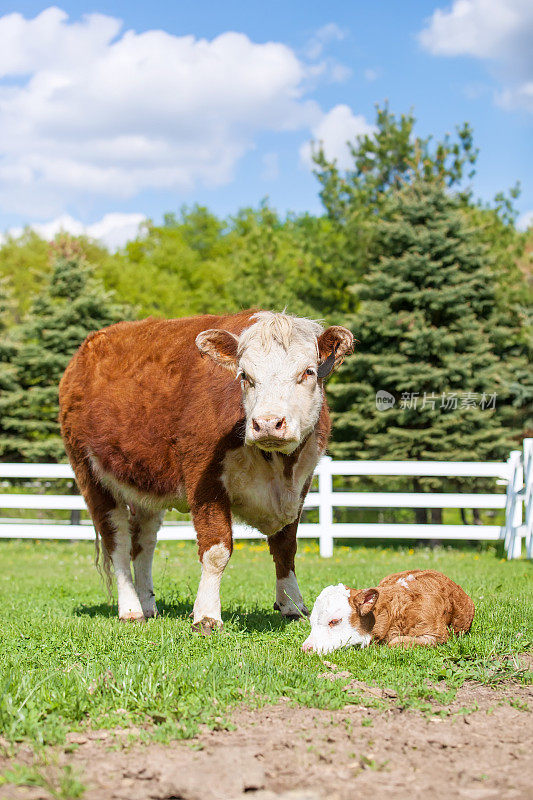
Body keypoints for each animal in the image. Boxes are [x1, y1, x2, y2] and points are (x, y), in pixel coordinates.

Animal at [58, 310, 354, 632]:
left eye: (308, 372)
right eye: (244, 375)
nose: (267, 423)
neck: (277, 466)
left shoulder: (300, 485)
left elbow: (286, 547)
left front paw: (293, 606)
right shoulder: (205, 481)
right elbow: (216, 550)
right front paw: (207, 616)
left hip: (145, 486)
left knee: (143, 543)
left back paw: (149, 605)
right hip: (92, 477)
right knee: (118, 543)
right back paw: (131, 610)